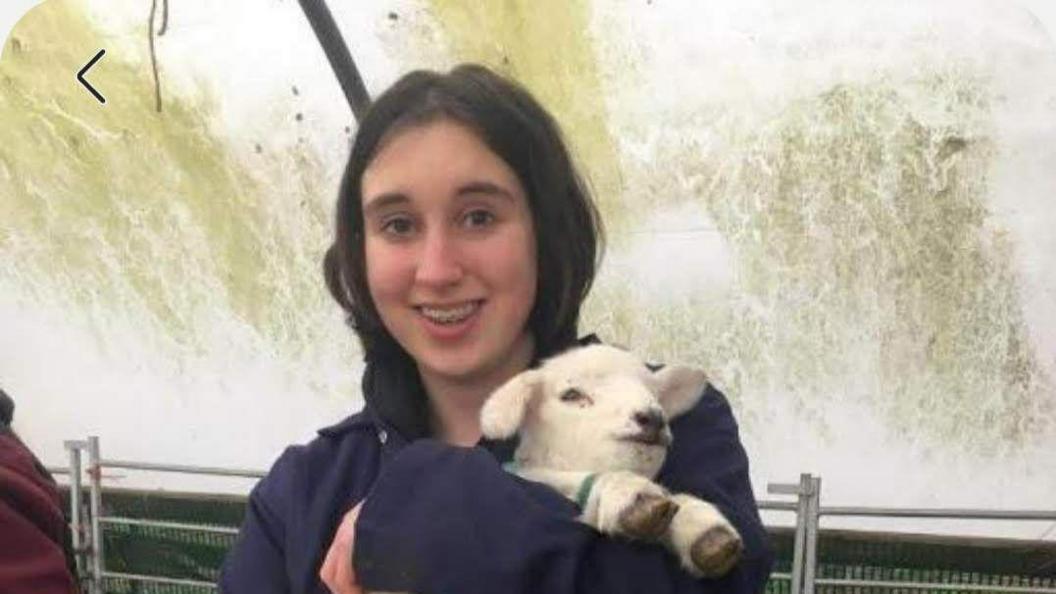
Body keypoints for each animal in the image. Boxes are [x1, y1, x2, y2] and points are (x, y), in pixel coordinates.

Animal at [481, 340, 743, 574]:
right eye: (571, 395)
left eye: (655, 396)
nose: (653, 417)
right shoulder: (530, 474)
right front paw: (628, 493)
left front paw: (700, 526)